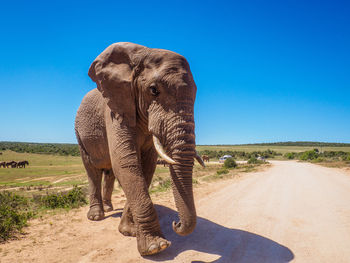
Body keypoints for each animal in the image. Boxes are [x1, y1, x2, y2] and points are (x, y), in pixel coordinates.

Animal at [75, 42, 204, 256]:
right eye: (154, 90)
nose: (176, 223)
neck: (142, 53)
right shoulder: (115, 110)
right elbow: (126, 163)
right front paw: (156, 247)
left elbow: (145, 166)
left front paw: (129, 232)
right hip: (79, 134)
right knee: (91, 169)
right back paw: (96, 216)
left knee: (109, 172)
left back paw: (109, 209)